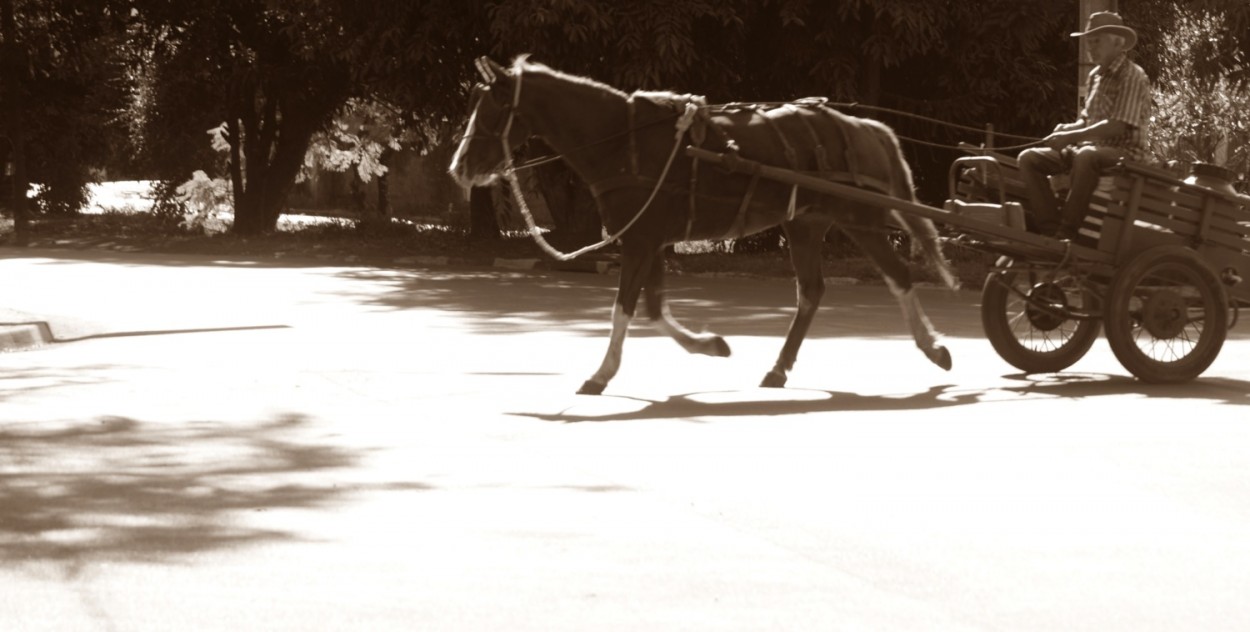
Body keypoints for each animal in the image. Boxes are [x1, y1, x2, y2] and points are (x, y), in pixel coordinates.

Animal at [450, 58, 955, 394]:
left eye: (491, 110)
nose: (459, 167)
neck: (624, 141)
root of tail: (864, 127)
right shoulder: (649, 240)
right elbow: (653, 309)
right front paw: (711, 345)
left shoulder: (639, 242)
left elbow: (623, 309)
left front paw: (600, 374)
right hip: (805, 226)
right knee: (811, 292)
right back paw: (778, 369)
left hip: (860, 221)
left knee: (899, 276)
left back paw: (933, 347)